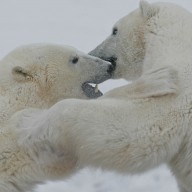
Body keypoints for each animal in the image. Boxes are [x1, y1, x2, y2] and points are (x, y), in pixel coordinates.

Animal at [15, 1, 192, 192]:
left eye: (114, 30)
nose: (93, 52)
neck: (175, 42)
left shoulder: (179, 92)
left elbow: (134, 128)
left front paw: (27, 123)